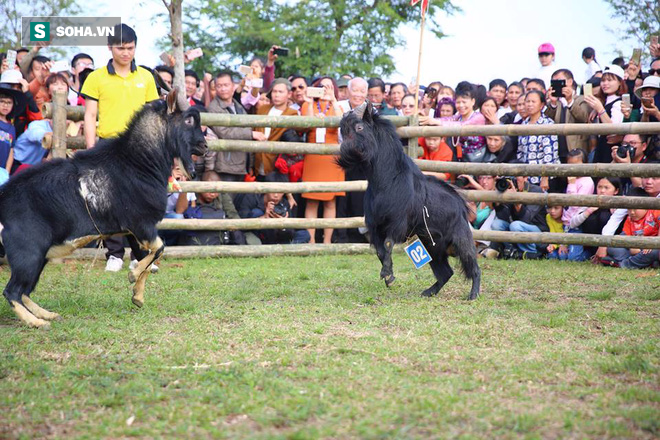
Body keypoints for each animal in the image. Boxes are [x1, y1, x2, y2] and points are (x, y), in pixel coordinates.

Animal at [0, 91, 206, 328]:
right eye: (188, 120)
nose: (204, 146)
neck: (137, 162)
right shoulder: (141, 224)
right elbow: (159, 248)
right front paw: (133, 275)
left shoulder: (137, 230)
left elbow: (151, 255)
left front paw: (137, 296)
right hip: (28, 252)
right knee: (12, 291)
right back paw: (37, 322)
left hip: (38, 256)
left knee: (24, 291)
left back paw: (47, 314)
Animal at [340, 103, 480, 300]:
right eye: (342, 130)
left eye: (359, 128)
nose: (345, 152)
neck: (387, 180)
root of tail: (461, 205)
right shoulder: (375, 226)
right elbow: (380, 251)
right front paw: (389, 277)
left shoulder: (397, 223)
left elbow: (388, 244)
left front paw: (386, 274)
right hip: (433, 247)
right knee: (446, 273)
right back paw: (429, 292)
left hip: (461, 239)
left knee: (473, 267)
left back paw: (473, 294)